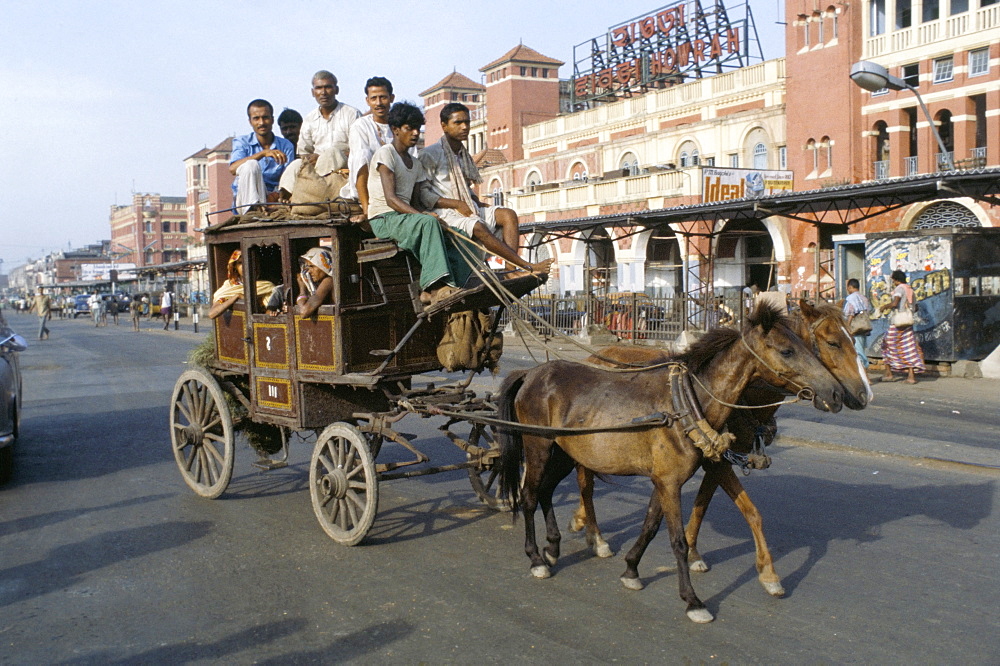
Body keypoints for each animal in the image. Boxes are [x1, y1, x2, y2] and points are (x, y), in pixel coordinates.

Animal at [496, 304, 840, 620]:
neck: (686, 403)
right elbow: (678, 541)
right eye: (787, 350)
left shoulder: (664, 480)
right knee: (529, 495)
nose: (835, 393)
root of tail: (531, 373)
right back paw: (536, 558)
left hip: (565, 453)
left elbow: (650, 525)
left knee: (545, 490)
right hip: (538, 446)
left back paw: (553, 548)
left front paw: (631, 570)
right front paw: (692, 600)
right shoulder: (669, 482)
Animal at [572, 298, 876, 592]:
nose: (861, 395)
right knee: (585, 478)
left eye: (853, 338)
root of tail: (592, 357)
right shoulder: (715, 462)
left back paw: (582, 520)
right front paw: (768, 573)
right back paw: (595, 535)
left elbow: (703, 503)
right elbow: (750, 511)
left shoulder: (714, 458)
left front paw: (693, 552)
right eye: (832, 342)